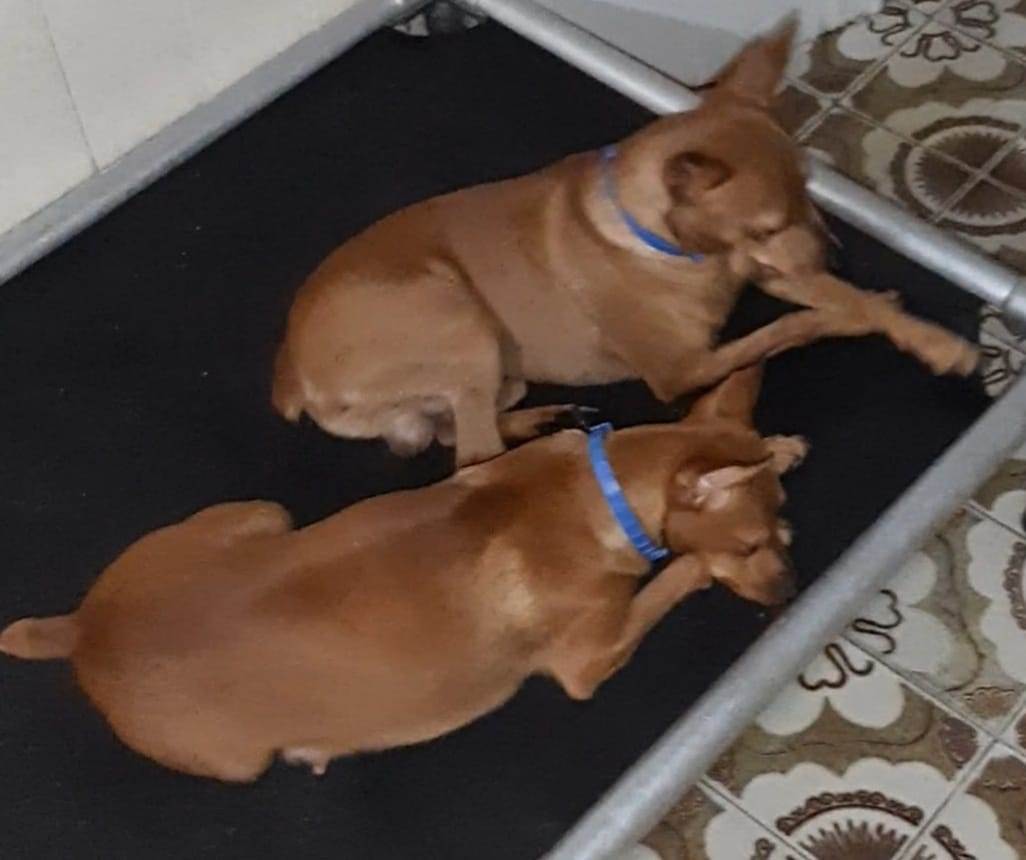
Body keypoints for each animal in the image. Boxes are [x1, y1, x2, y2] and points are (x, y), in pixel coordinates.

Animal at [2, 367, 804, 782]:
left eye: (775, 530)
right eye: (750, 545)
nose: (790, 594)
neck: (598, 492)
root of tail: (85, 632)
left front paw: (781, 444)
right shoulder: (588, 661)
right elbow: (669, 579)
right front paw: (699, 563)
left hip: (262, 513)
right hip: (240, 761)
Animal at [271, 20, 978, 468]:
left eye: (812, 193)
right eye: (764, 224)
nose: (836, 253)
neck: (687, 254)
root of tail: (292, 374)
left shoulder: (774, 267)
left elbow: (846, 300)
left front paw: (931, 341)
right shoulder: (682, 368)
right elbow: (788, 328)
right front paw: (847, 317)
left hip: (496, 372)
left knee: (457, 433)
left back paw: (539, 424)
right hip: (460, 324)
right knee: (472, 458)